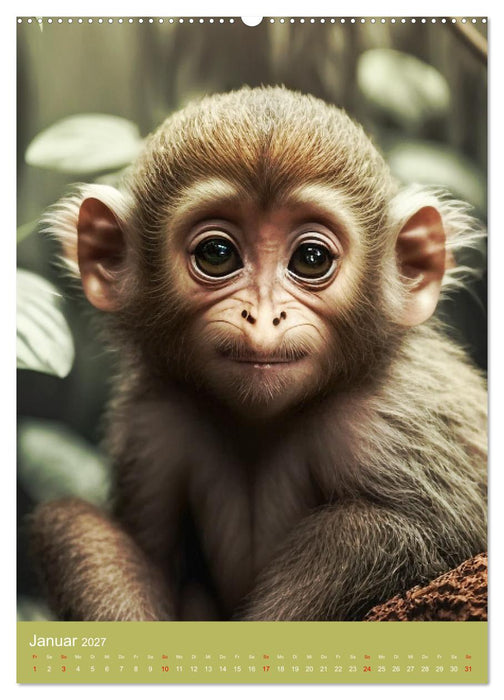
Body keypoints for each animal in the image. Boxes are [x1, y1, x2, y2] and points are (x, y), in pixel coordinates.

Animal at [29, 86, 487, 622]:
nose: (263, 315)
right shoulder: (154, 422)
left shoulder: (393, 416)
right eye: (217, 254)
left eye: (311, 259)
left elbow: (421, 532)